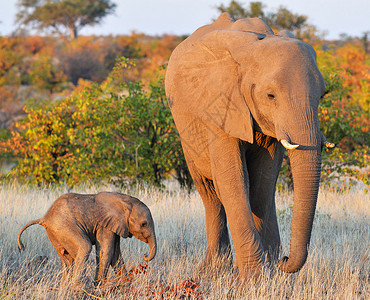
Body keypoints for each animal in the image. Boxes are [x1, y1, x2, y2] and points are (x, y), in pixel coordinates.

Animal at [17, 191, 156, 284]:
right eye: (144, 224)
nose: (144, 255)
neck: (124, 199)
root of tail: (44, 218)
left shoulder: (116, 226)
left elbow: (115, 254)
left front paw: (125, 288)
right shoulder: (104, 226)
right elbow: (106, 252)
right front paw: (99, 289)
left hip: (56, 234)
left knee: (68, 261)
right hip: (64, 227)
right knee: (84, 247)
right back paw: (79, 288)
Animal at [165, 11, 332, 278]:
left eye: (322, 96)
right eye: (270, 95)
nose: (285, 260)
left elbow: (262, 182)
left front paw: (270, 272)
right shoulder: (219, 103)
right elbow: (234, 179)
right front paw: (252, 278)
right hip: (186, 133)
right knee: (210, 193)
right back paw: (213, 270)